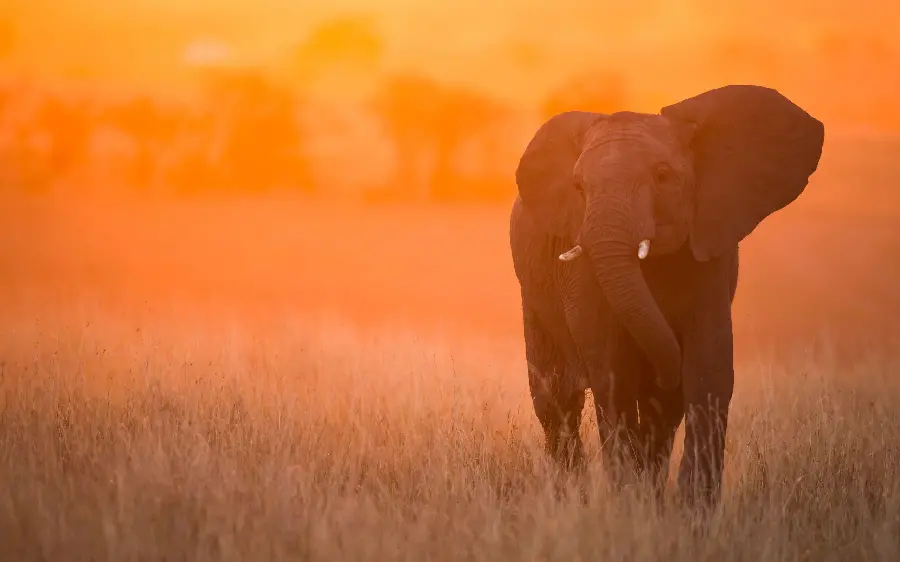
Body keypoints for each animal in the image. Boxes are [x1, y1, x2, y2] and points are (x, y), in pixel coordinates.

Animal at [506, 84, 824, 508]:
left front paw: (692, 511)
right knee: (556, 400)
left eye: (662, 175)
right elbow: (611, 370)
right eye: (579, 189)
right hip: (534, 298)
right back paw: (576, 498)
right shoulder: (581, 262)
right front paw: (628, 502)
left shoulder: (711, 250)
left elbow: (708, 366)